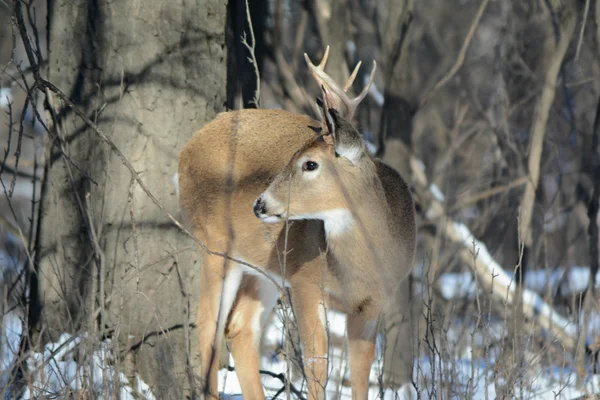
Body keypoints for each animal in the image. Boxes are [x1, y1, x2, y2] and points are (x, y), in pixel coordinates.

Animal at [176, 44, 414, 400]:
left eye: (309, 164)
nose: (260, 203)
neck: (360, 268)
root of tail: (185, 151)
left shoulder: (373, 302)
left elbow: (360, 375)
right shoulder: (306, 281)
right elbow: (317, 367)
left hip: (264, 268)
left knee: (239, 328)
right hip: (215, 243)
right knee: (208, 325)